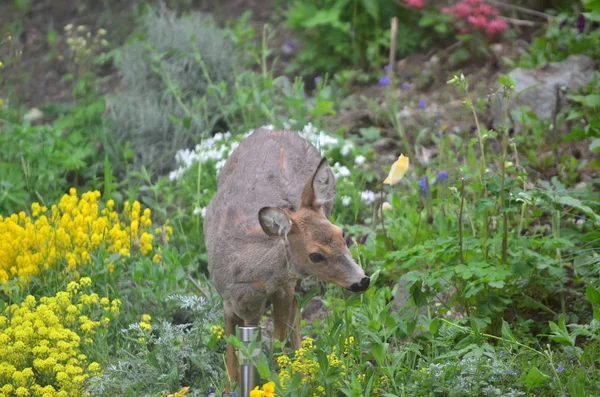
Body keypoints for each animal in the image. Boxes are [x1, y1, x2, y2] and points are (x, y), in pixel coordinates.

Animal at [204, 127, 368, 390]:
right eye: (315, 255)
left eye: (341, 233)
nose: (362, 280)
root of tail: (273, 129)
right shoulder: (229, 303)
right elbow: (232, 361)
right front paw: (233, 389)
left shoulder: (282, 289)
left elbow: (277, 343)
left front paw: (283, 380)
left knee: (296, 315)